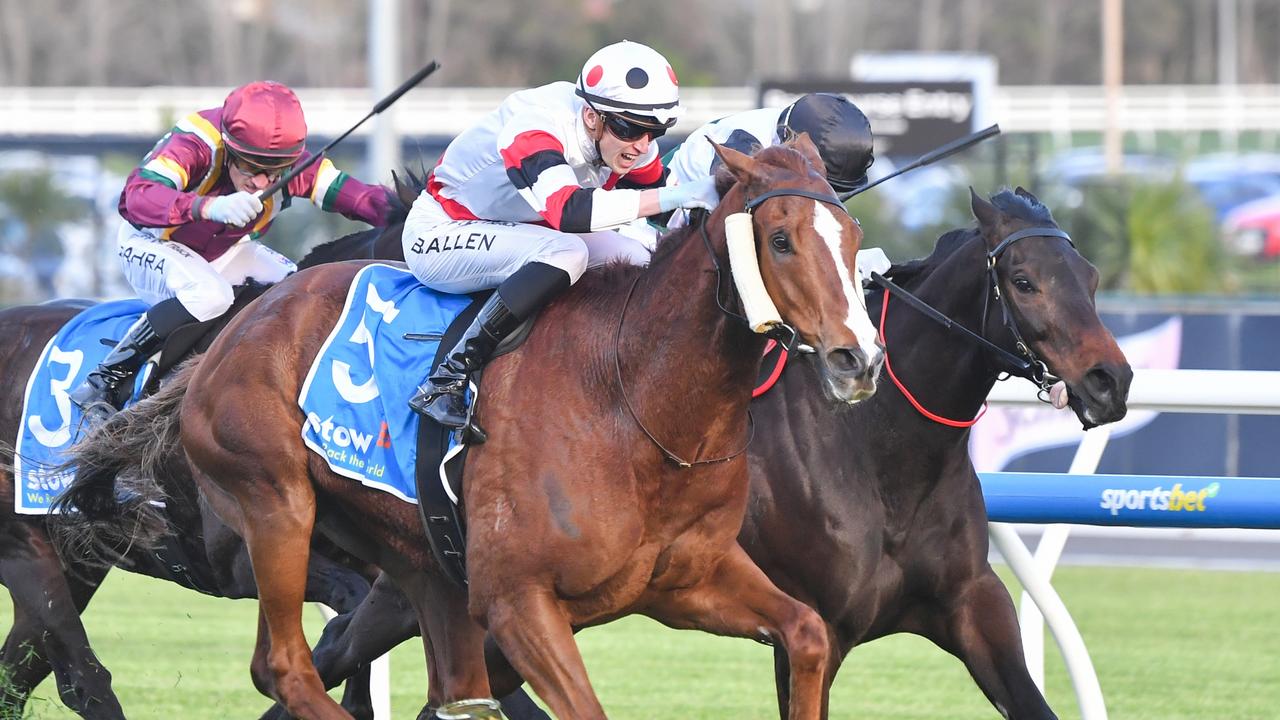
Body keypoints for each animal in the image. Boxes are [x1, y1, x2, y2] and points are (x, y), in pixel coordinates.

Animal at [70, 134, 885, 717]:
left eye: (851, 235)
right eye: (780, 239)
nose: (859, 358)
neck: (634, 403)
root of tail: (232, 329)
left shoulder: (688, 580)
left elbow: (808, 636)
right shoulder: (518, 602)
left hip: (419, 563)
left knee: (449, 692)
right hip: (276, 506)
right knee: (285, 667)